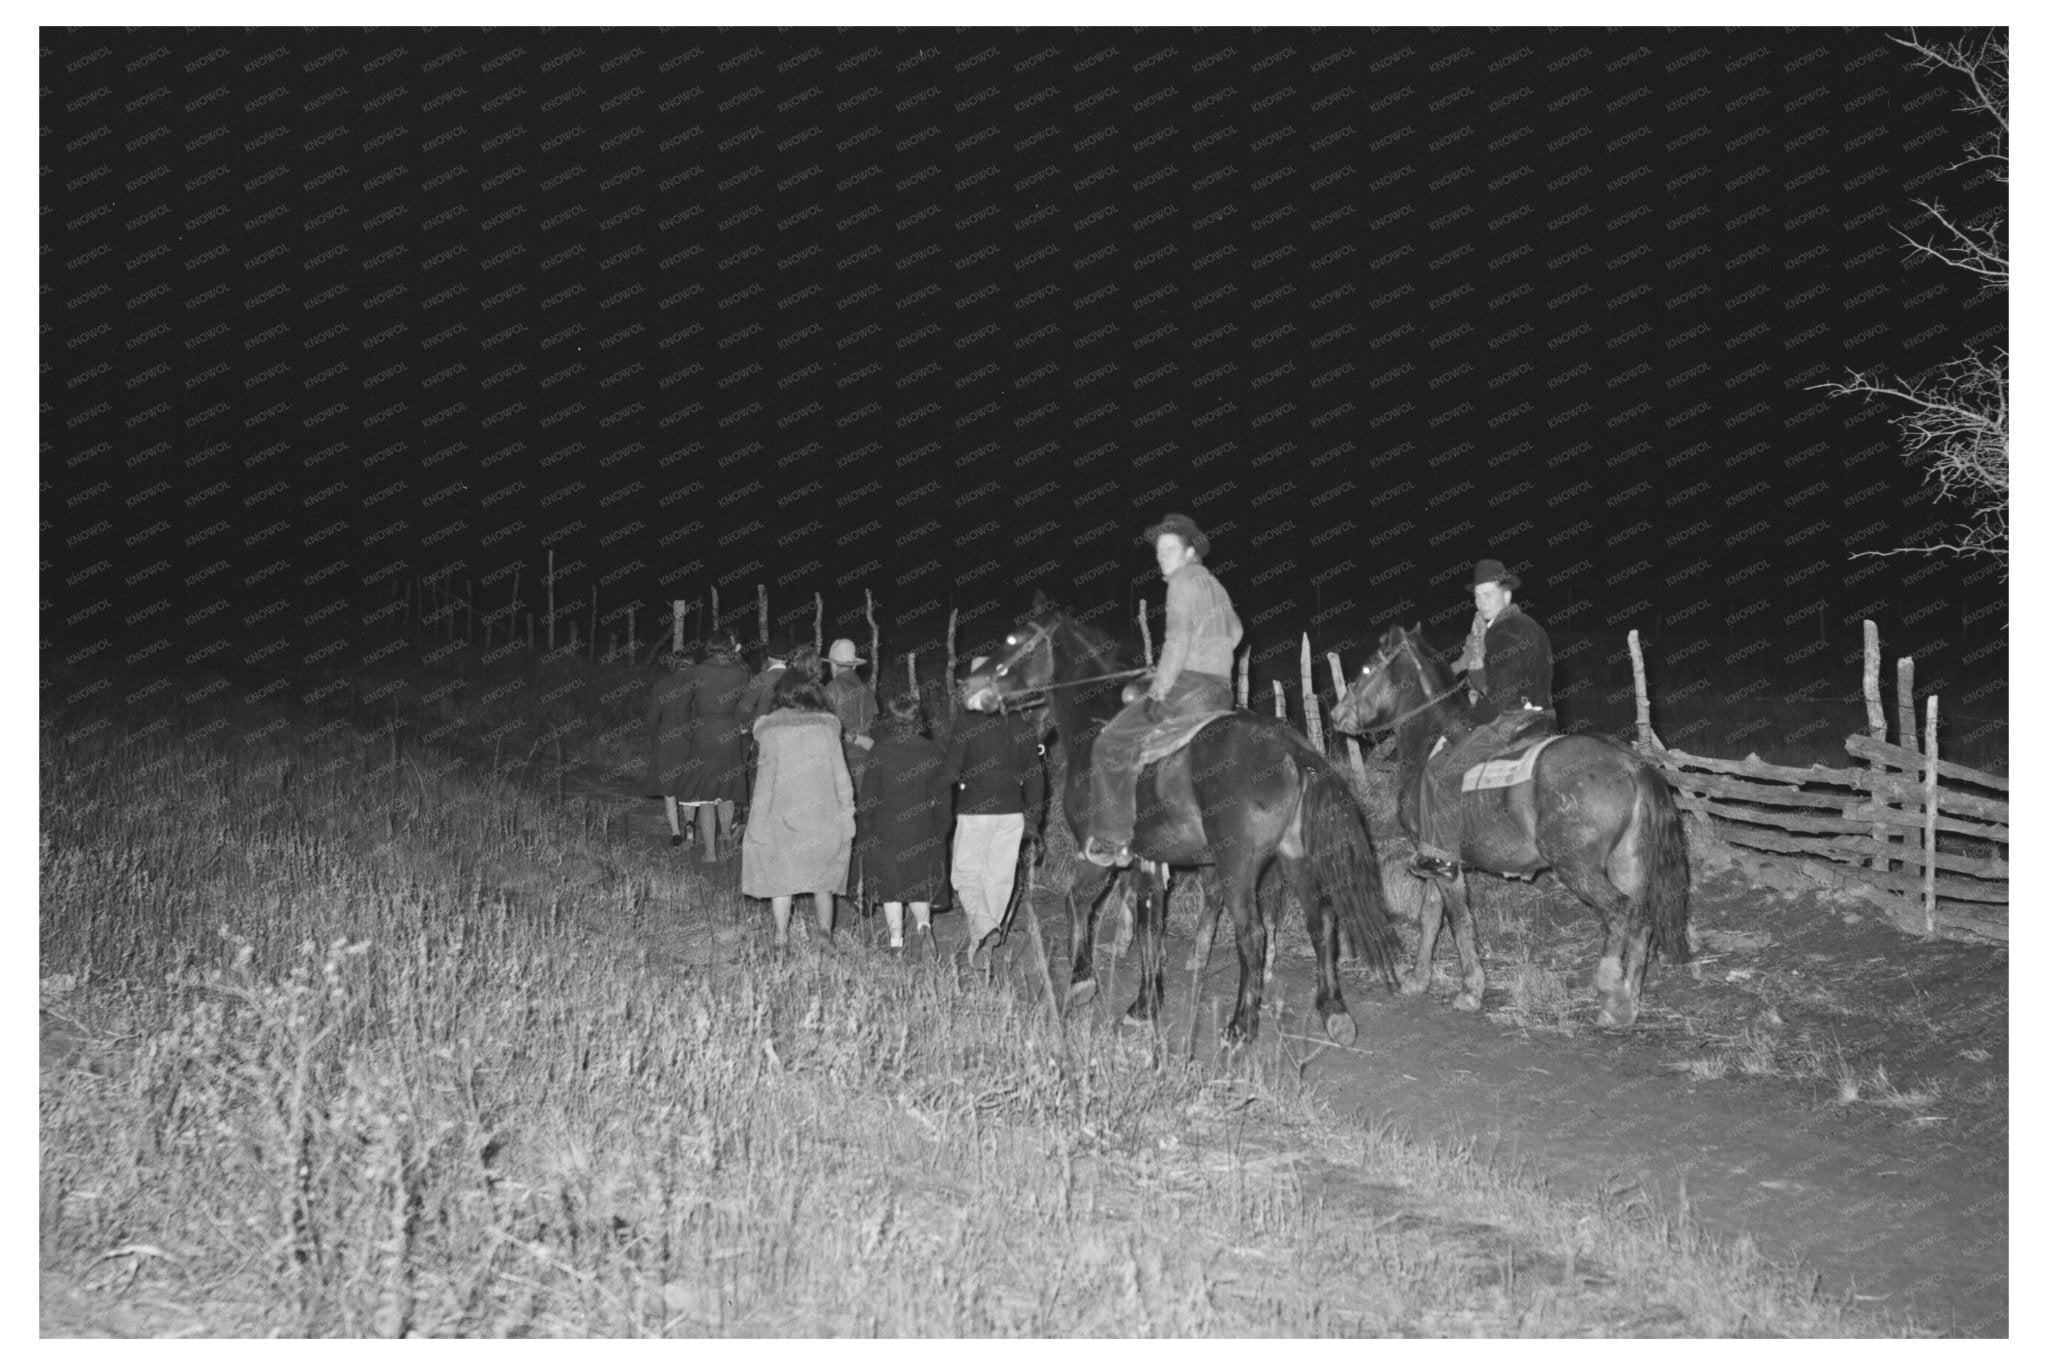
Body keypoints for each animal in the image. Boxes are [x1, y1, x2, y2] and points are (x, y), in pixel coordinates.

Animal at [966, 597, 1400, 1047]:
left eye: (1013, 640)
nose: (970, 684)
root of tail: (1293, 751)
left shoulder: (1097, 851)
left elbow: (1082, 903)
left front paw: (1083, 982)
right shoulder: (1149, 861)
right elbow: (1150, 926)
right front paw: (1144, 1003)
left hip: (1238, 867)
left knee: (1253, 934)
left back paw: (1241, 1025)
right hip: (1295, 858)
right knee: (1323, 922)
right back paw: (1333, 1010)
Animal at [1335, 626, 1687, 1023]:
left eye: (1367, 668)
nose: (1336, 714)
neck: (1431, 744)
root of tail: (1631, 764)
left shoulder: (1446, 866)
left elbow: (1458, 921)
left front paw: (1470, 990)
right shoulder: (1437, 859)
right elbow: (1430, 917)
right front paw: (1417, 979)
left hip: (1578, 867)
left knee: (1619, 912)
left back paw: (1610, 990)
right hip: (1629, 862)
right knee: (1641, 919)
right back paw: (1627, 1002)